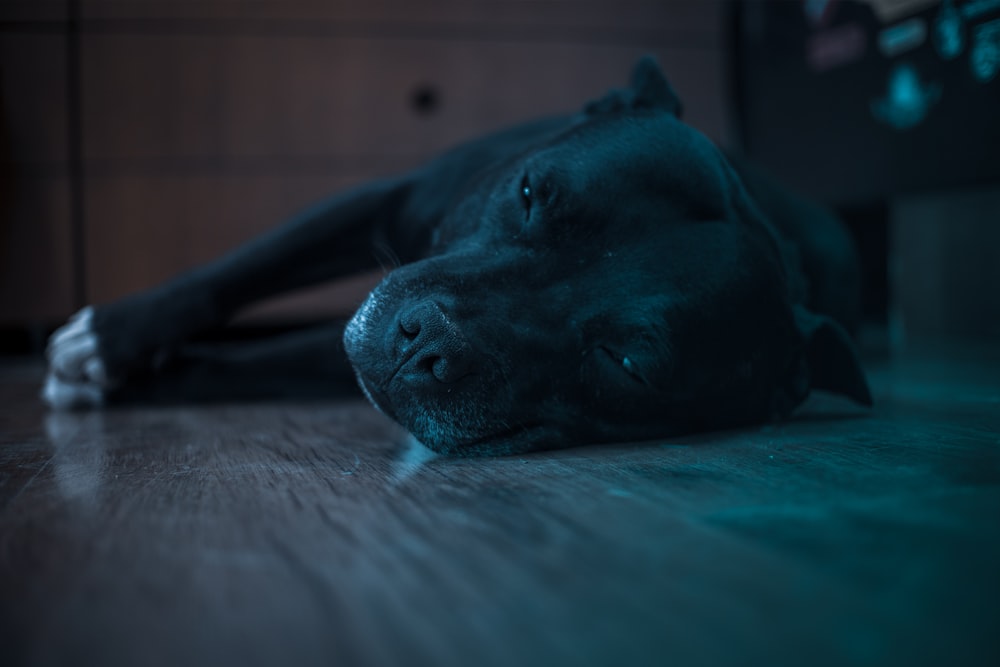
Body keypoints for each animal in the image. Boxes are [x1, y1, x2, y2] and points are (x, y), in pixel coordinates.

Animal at [45, 57, 868, 456]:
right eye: (533, 191)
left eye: (629, 364)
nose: (425, 343)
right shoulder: (383, 200)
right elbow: (232, 274)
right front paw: (111, 339)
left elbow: (252, 364)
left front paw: (134, 381)